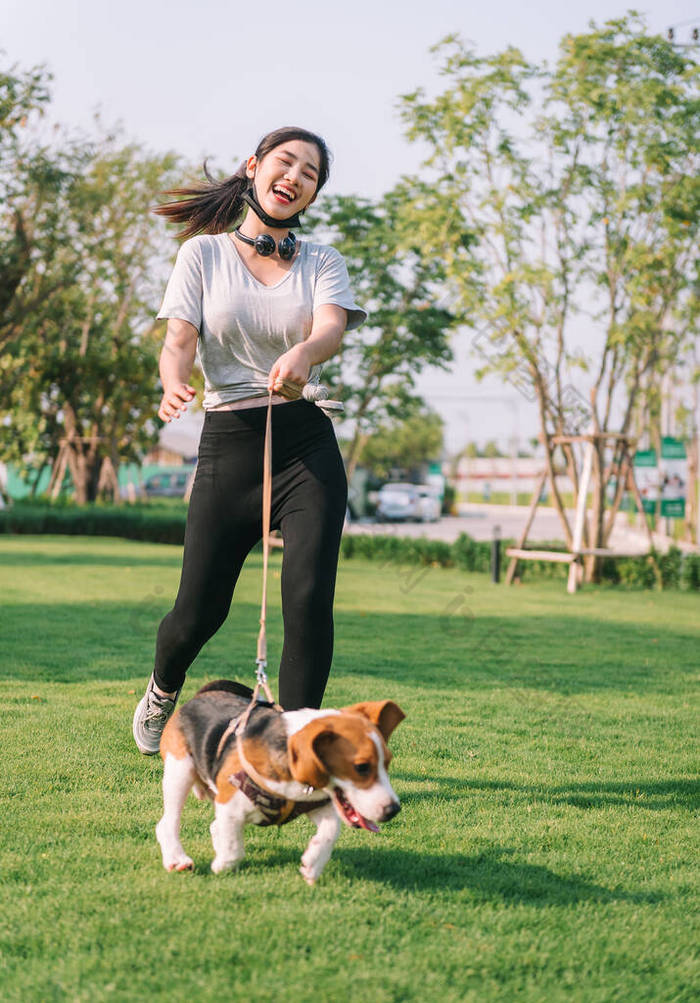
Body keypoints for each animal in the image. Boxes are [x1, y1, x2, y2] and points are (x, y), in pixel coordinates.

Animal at [154, 682, 403, 886]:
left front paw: (313, 864)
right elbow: (234, 848)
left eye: (387, 763)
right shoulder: (230, 803)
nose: (394, 810)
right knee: (168, 823)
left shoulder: (315, 804)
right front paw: (223, 864)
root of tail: (201, 694)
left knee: (213, 826)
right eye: (361, 767)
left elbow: (331, 830)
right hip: (179, 771)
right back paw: (177, 859)